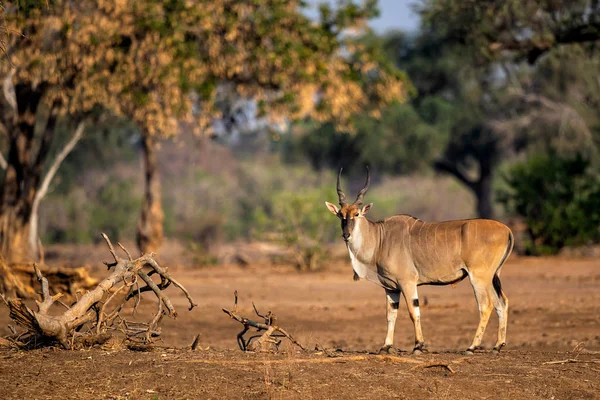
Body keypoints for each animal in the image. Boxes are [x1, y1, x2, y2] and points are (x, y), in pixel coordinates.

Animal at [326, 167, 512, 354]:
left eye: (356, 214)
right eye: (340, 215)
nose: (346, 235)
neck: (380, 238)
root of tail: (507, 229)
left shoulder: (407, 282)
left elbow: (413, 312)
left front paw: (419, 346)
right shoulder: (391, 288)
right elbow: (390, 315)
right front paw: (386, 346)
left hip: (479, 278)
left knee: (486, 305)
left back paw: (472, 346)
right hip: (492, 278)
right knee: (501, 303)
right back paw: (498, 345)